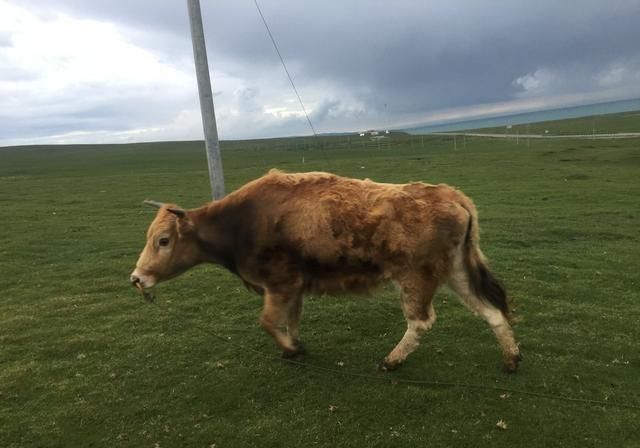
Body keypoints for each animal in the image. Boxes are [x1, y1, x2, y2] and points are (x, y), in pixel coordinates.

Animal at [129, 170, 520, 372]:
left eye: (163, 240)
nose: (137, 278)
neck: (240, 222)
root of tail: (454, 196)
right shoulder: (294, 286)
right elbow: (291, 318)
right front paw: (296, 343)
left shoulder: (280, 283)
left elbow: (268, 322)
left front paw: (290, 350)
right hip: (456, 272)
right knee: (491, 311)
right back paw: (511, 358)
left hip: (416, 278)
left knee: (421, 322)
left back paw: (392, 360)